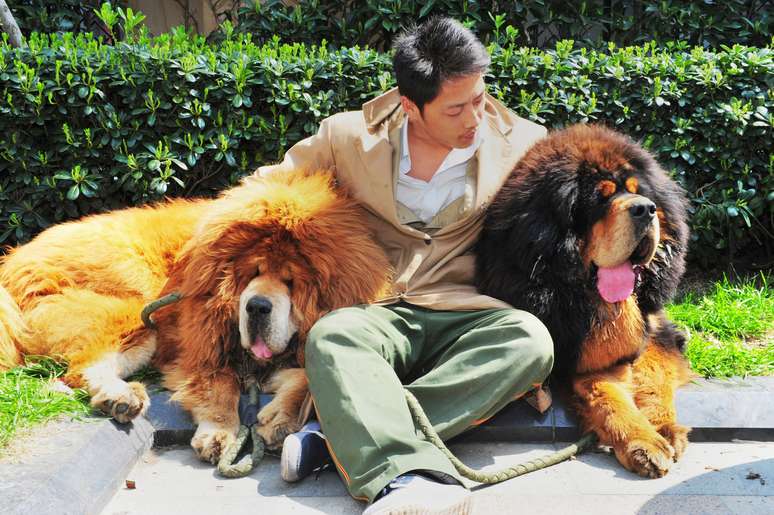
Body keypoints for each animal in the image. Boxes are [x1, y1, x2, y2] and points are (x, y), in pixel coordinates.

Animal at [478, 125, 696, 480]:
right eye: (600, 198)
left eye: (639, 192)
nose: (646, 208)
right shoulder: (573, 356)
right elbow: (606, 395)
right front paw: (643, 442)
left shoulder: (654, 331)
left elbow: (655, 378)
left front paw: (664, 428)